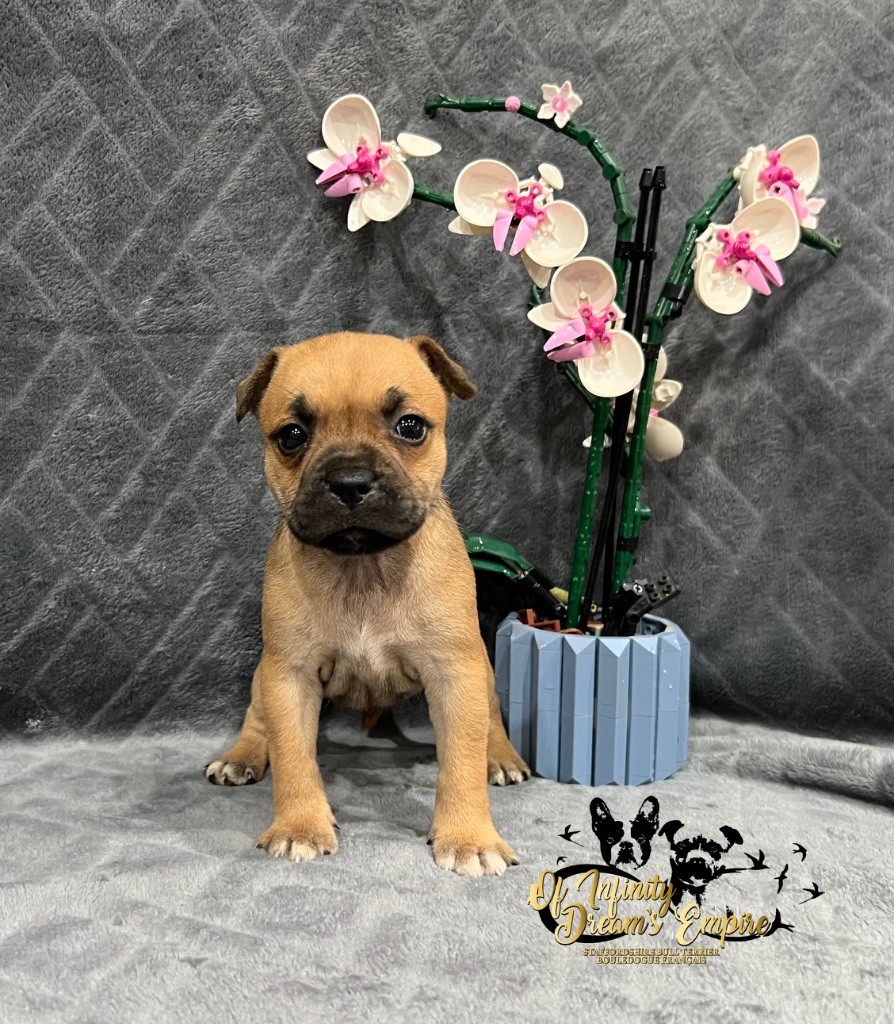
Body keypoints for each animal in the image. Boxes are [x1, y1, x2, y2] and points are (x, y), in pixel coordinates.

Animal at [205, 332, 530, 877]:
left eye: (410, 427)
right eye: (291, 436)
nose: (351, 481)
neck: (363, 565)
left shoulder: (456, 673)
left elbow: (461, 760)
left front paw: (468, 836)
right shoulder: (288, 674)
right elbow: (293, 756)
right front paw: (299, 826)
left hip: (481, 672)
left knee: (489, 719)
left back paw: (501, 757)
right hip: (262, 676)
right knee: (258, 718)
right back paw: (243, 755)